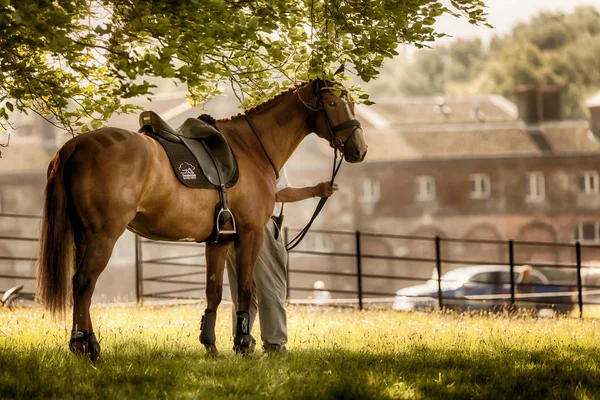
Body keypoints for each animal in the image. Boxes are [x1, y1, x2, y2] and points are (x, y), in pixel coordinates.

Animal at [37, 79, 368, 360]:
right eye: (333, 102)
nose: (359, 149)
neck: (250, 147)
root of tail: (77, 144)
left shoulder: (218, 240)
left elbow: (214, 292)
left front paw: (211, 345)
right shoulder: (249, 234)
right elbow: (245, 289)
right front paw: (243, 345)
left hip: (84, 236)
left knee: (82, 286)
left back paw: (87, 343)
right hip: (103, 236)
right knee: (83, 283)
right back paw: (84, 347)